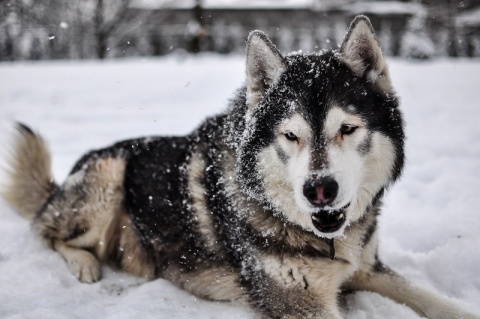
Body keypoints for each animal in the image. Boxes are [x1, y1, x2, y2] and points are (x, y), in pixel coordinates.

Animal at [1, 15, 478, 319]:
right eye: (291, 136)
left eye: (347, 128)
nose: (319, 190)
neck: (326, 241)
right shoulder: (299, 302)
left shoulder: (367, 269)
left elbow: (438, 302)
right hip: (107, 179)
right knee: (49, 234)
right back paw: (84, 263)